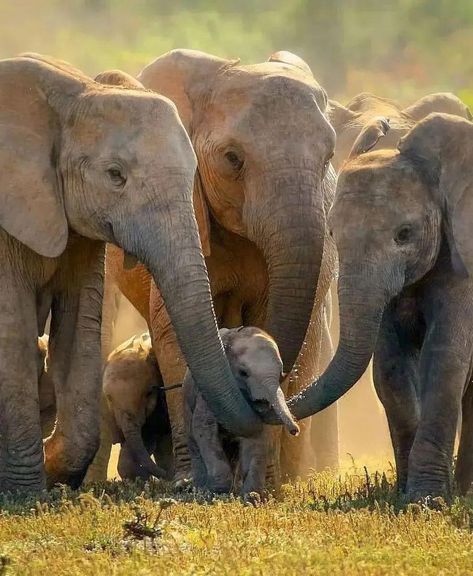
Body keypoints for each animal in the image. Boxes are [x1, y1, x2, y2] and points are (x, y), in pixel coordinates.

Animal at [0, 55, 258, 496]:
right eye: (115, 174)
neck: (73, 97)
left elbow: (80, 328)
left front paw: (54, 472)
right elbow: (13, 331)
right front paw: (25, 492)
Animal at [183, 326, 296, 498]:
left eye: (281, 373)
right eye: (243, 373)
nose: (295, 430)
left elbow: (257, 437)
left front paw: (252, 497)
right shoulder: (208, 396)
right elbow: (204, 428)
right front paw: (217, 493)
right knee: (194, 442)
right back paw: (200, 488)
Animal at [286, 111, 473, 500]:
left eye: (405, 234)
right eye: (332, 234)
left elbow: (445, 359)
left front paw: (426, 499)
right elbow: (389, 366)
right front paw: (406, 494)